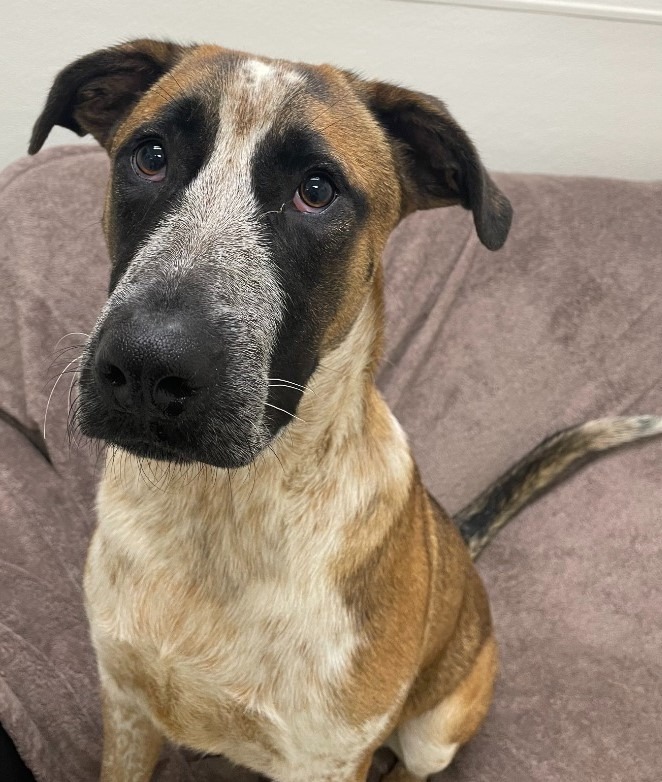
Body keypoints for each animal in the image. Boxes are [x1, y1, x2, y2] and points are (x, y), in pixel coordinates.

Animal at [29, 39, 662, 780]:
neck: (219, 511)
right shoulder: (126, 708)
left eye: (317, 190)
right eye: (150, 156)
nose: (147, 368)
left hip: (435, 727)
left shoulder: (325, 759)